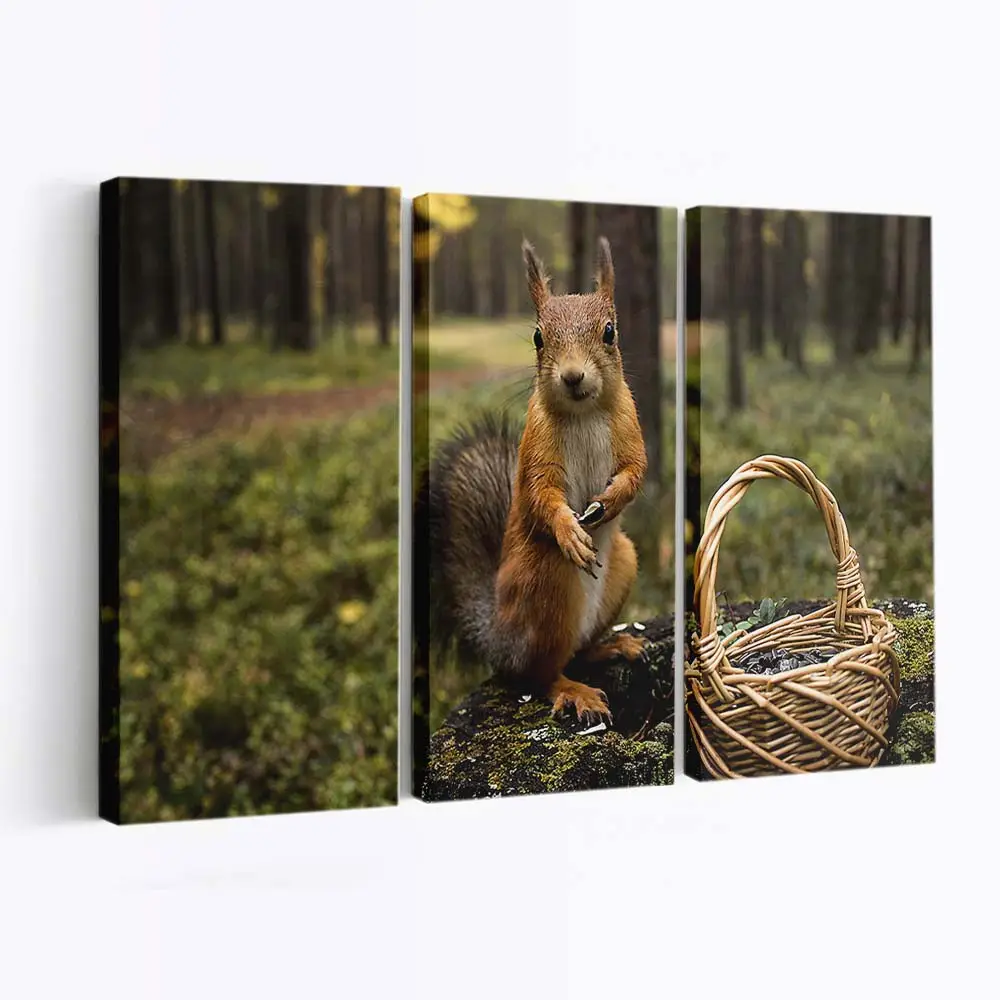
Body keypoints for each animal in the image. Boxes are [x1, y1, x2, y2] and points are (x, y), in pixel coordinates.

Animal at [416, 236, 648, 725]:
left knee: (577, 651)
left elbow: (636, 471)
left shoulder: (630, 427)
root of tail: (499, 639)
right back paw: (573, 690)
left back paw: (611, 646)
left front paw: (612, 500)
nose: (573, 376)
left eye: (610, 332)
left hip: (624, 563)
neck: (583, 412)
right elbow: (542, 494)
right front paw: (569, 530)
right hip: (546, 583)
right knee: (539, 674)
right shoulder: (537, 450)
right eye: (539, 337)